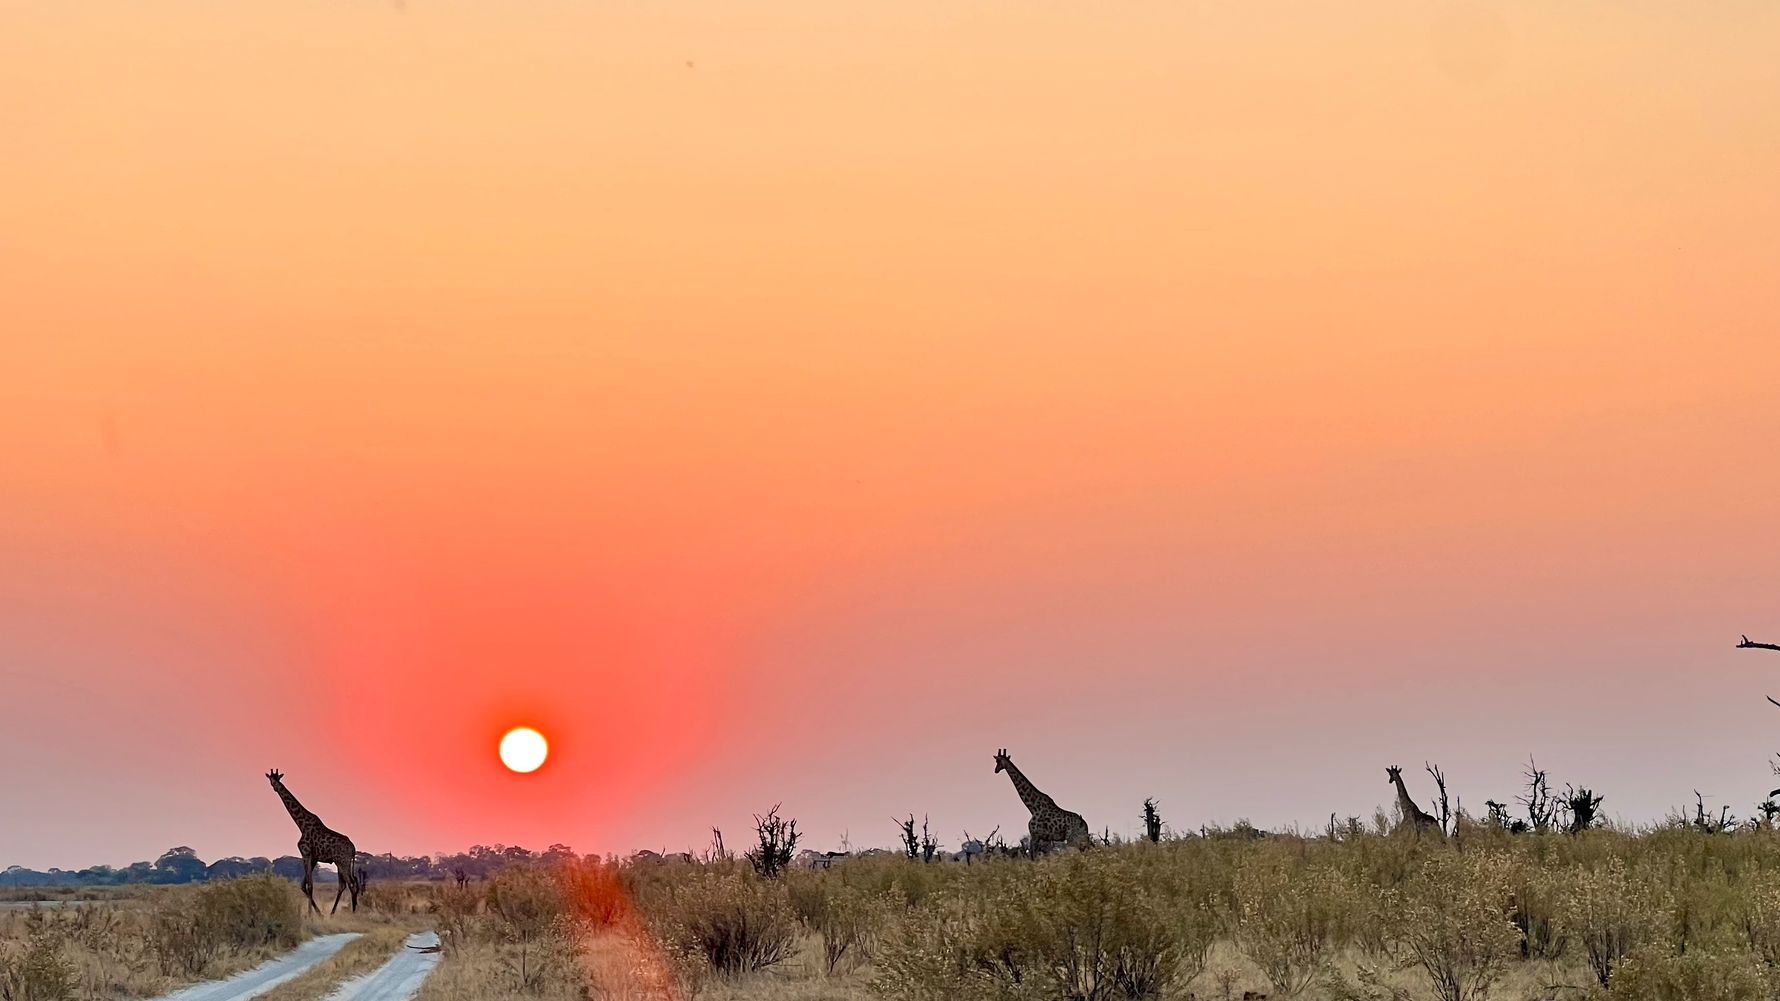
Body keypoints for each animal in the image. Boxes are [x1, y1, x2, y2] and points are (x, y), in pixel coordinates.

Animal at [266, 769, 361, 914]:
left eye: (275, 780)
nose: (275, 787)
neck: (301, 824)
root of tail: (353, 848)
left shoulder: (306, 853)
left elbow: (309, 885)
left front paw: (311, 914)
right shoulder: (314, 857)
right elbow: (303, 885)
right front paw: (318, 914)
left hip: (343, 862)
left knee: (351, 883)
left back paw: (352, 913)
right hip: (341, 862)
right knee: (343, 885)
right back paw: (332, 913)